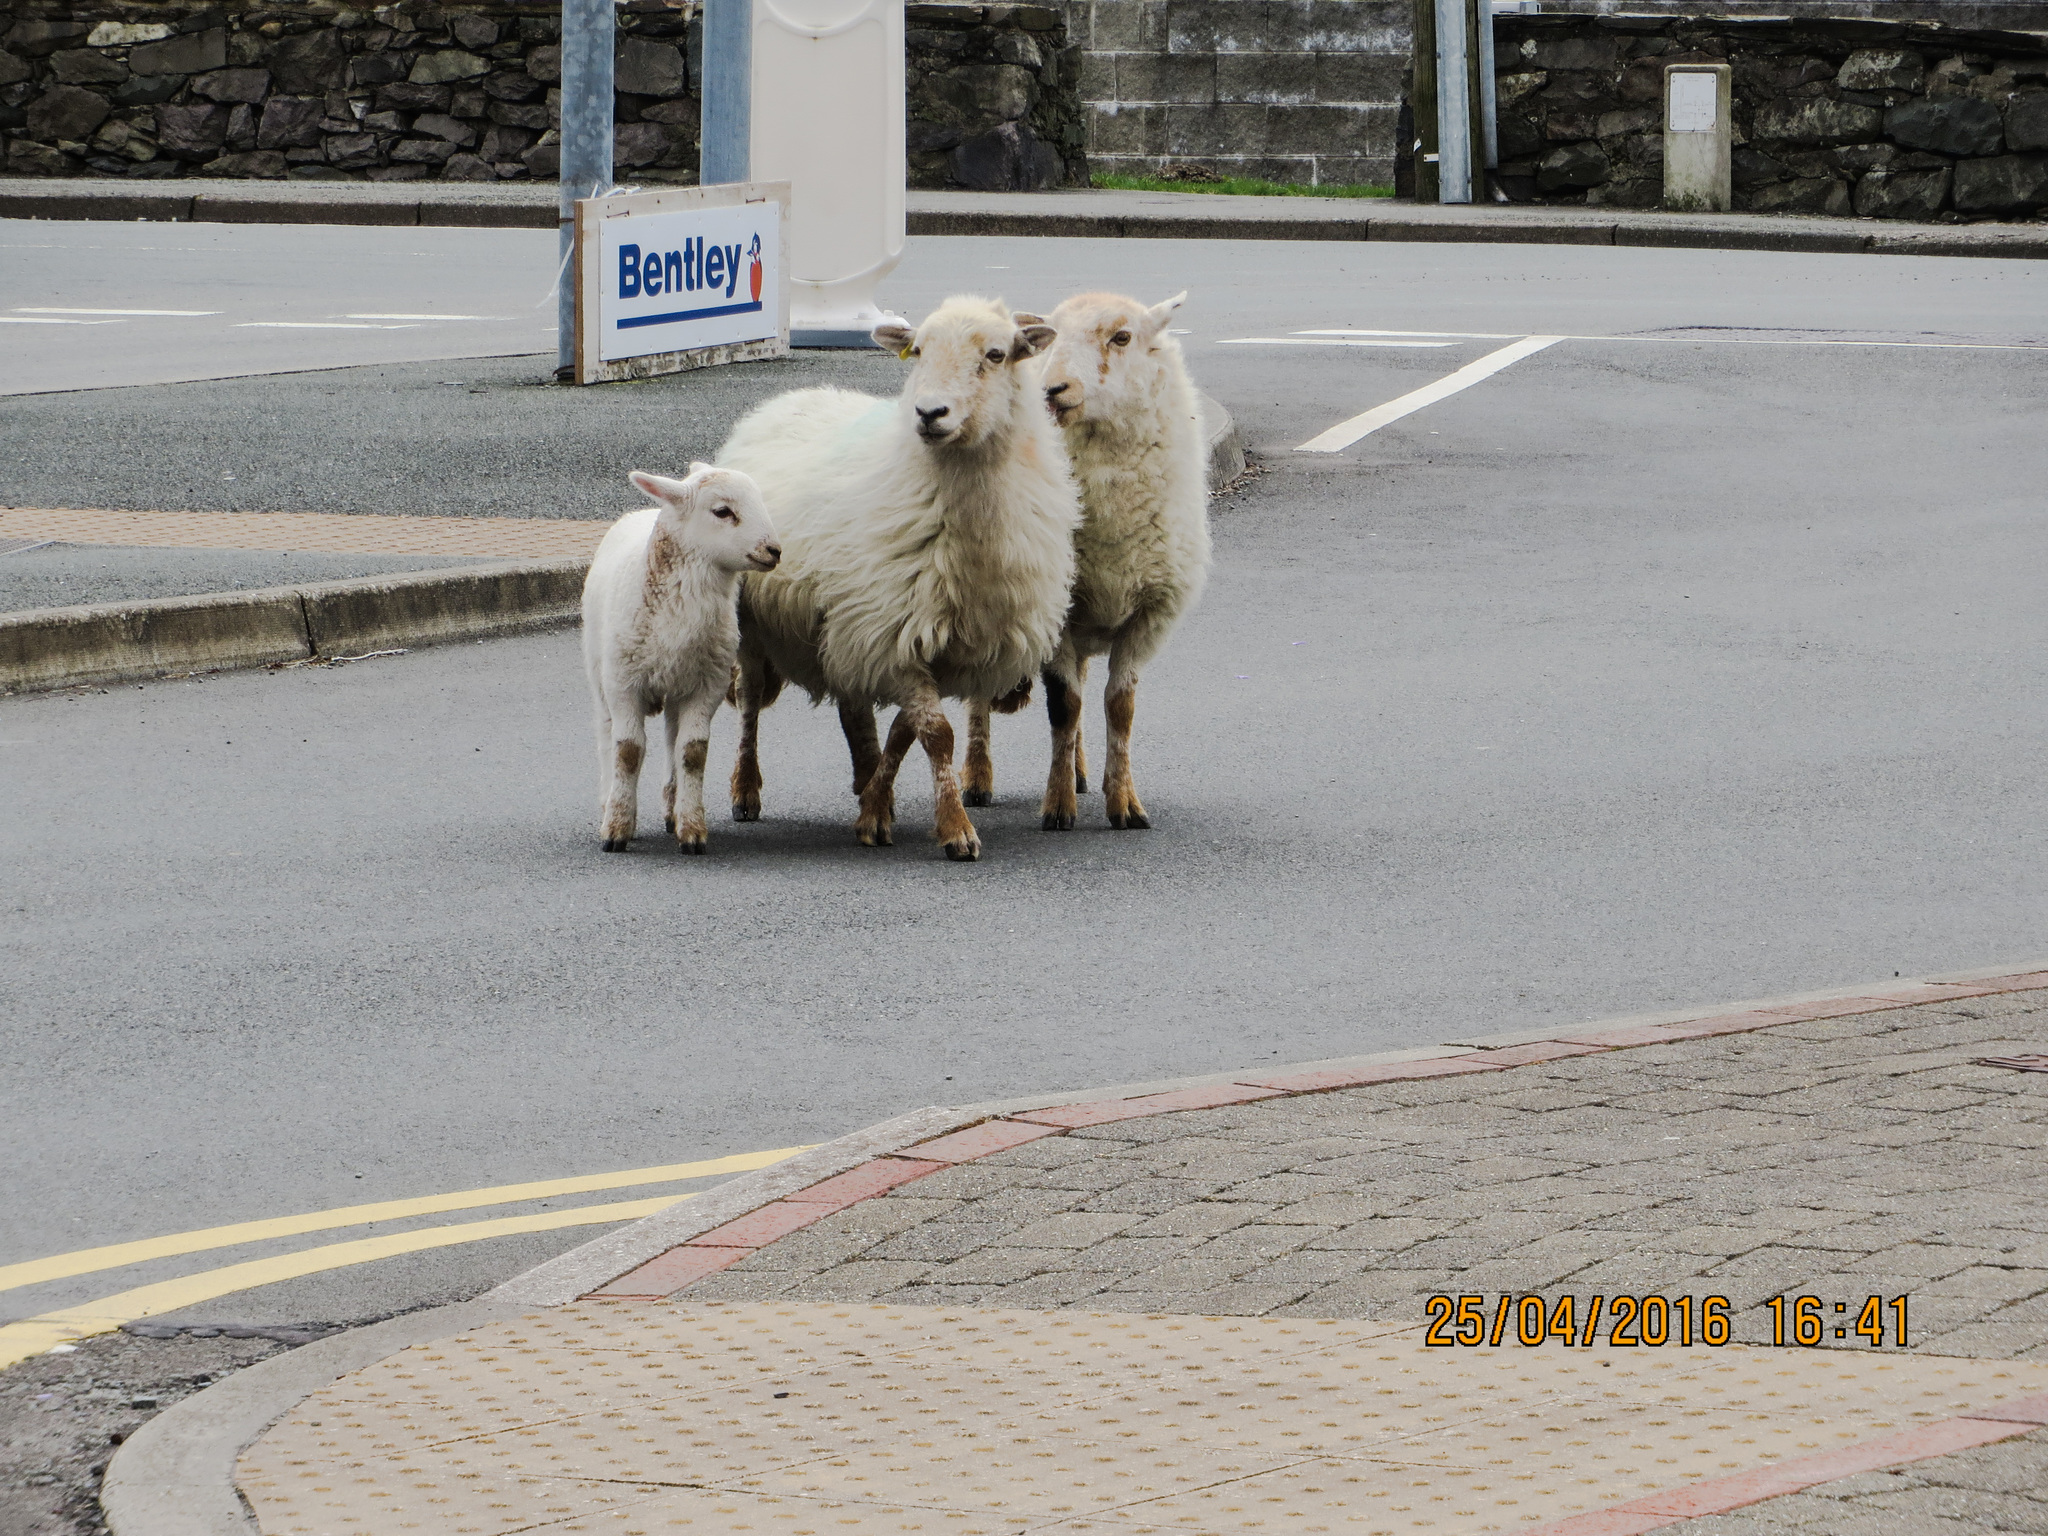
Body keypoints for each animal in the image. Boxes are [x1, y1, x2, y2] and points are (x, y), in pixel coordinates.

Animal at [585, 462, 790, 860]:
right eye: (722, 511)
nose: (773, 550)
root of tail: (641, 511)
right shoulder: (624, 684)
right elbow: (628, 751)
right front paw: (617, 829)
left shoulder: (706, 687)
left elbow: (693, 753)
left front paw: (692, 830)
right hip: (600, 671)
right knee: (606, 734)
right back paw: (606, 803)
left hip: (677, 685)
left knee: (670, 738)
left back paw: (671, 808)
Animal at [712, 294, 1081, 860]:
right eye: (920, 350)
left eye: (996, 354)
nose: (929, 413)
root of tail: (786, 399)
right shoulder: (892, 634)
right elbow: (936, 734)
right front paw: (955, 829)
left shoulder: (913, 640)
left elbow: (904, 732)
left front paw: (874, 811)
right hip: (759, 625)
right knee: (751, 704)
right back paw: (745, 790)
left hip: (840, 624)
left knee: (853, 712)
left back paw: (866, 784)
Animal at [962, 294, 1212, 835]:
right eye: (1053, 337)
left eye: (1122, 337)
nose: (1053, 389)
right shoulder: (1056, 615)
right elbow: (1065, 705)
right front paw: (1057, 808)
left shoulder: (1147, 616)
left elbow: (1119, 709)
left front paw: (1125, 804)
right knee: (979, 698)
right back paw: (976, 778)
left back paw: (1078, 771)